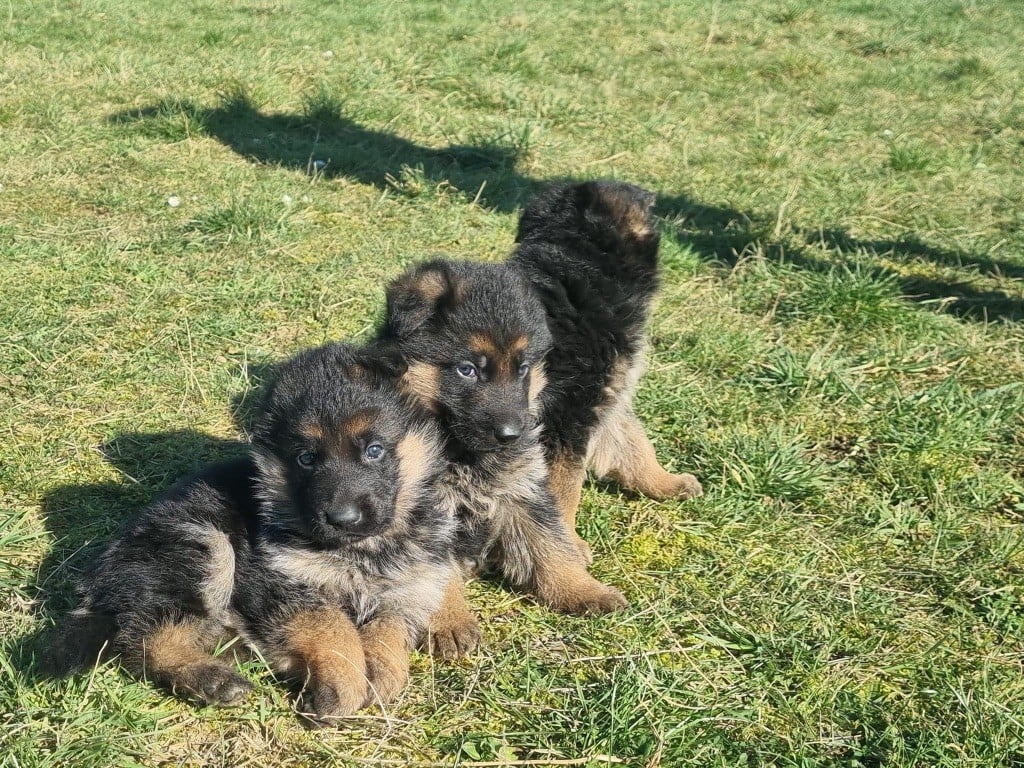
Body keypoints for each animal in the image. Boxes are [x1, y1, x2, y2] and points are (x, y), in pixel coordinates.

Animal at [44, 346, 452, 724]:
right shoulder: (275, 579)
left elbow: (389, 630)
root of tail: (99, 583)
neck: (363, 551)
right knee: (142, 641)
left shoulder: (409, 589)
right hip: (201, 544)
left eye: (374, 450)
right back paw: (213, 678)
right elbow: (332, 624)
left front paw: (381, 671)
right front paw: (344, 681)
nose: (342, 519)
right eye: (306, 459)